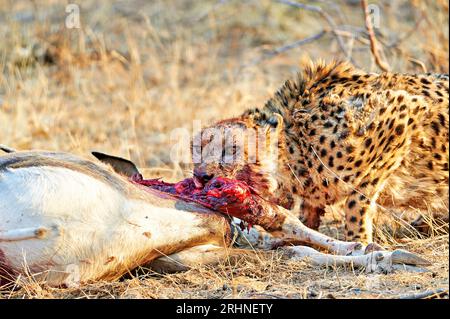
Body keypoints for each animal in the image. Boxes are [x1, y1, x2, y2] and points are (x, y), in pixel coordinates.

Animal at [192, 60, 448, 245]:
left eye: (230, 150)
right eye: (197, 149)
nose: (201, 176)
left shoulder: (401, 113)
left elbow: (357, 200)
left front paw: (359, 240)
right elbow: (310, 209)